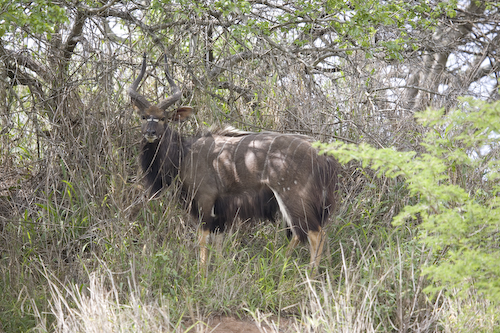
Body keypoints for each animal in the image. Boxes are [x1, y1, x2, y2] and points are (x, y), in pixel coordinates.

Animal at [127, 52, 342, 270]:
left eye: (163, 118)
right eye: (144, 116)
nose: (150, 133)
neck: (184, 153)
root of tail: (324, 156)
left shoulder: (205, 199)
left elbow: (203, 239)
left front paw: (201, 274)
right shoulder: (222, 211)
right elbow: (218, 243)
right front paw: (220, 271)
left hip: (293, 196)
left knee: (315, 235)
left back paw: (306, 274)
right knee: (308, 234)